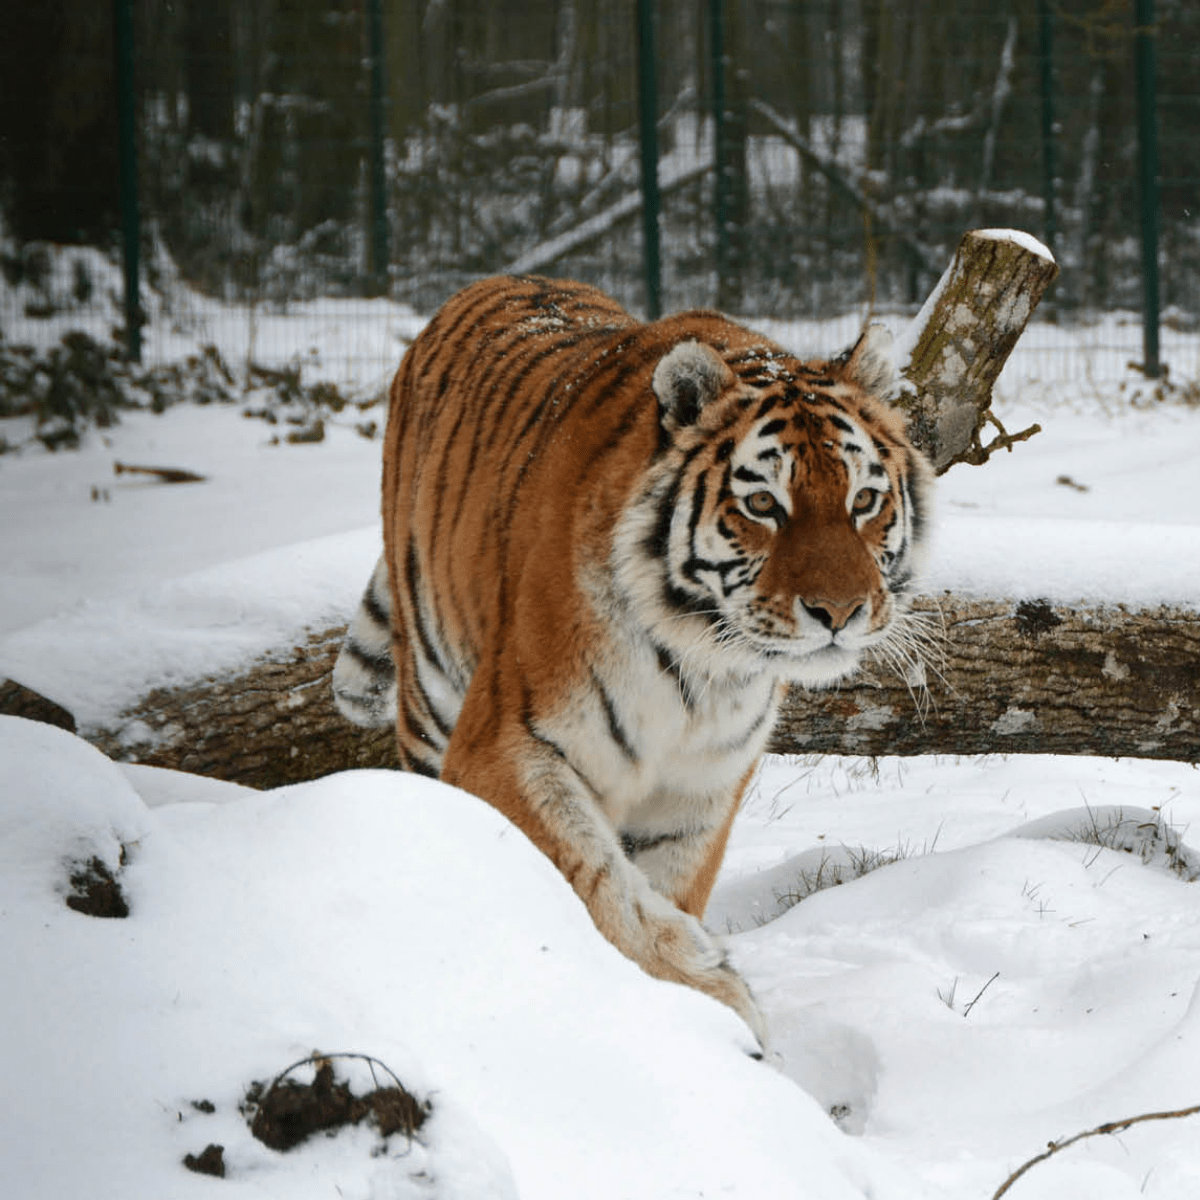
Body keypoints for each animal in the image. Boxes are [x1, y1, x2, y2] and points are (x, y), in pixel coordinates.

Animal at [333, 275, 933, 1046]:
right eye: (762, 503)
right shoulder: (508, 743)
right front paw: (709, 991)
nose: (841, 611)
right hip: (431, 699)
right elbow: (594, 878)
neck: (703, 663)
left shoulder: (700, 786)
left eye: (864, 499)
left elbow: (659, 884)